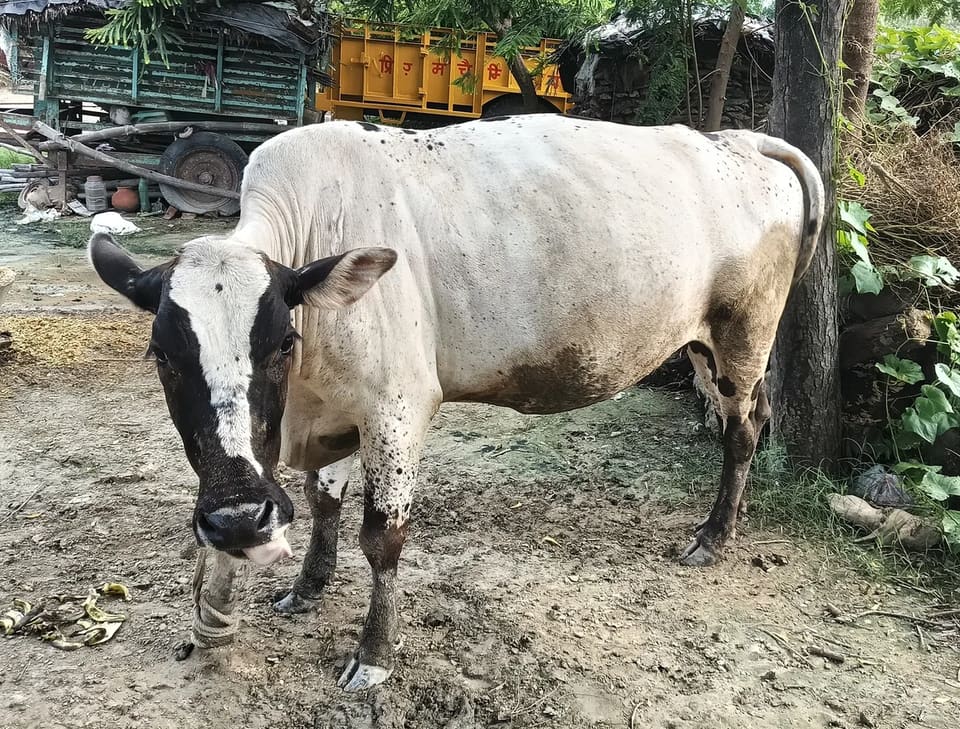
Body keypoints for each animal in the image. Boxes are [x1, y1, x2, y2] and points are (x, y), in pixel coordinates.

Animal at [88, 114, 824, 691]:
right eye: (163, 356)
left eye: (281, 341)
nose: (239, 519)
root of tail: (740, 140)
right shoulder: (333, 410)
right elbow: (324, 500)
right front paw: (307, 587)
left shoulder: (395, 407)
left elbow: (382, 537)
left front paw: (373, 655)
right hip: (703, 344)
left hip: (741, 336)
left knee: (743, 430)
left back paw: (714, 537)